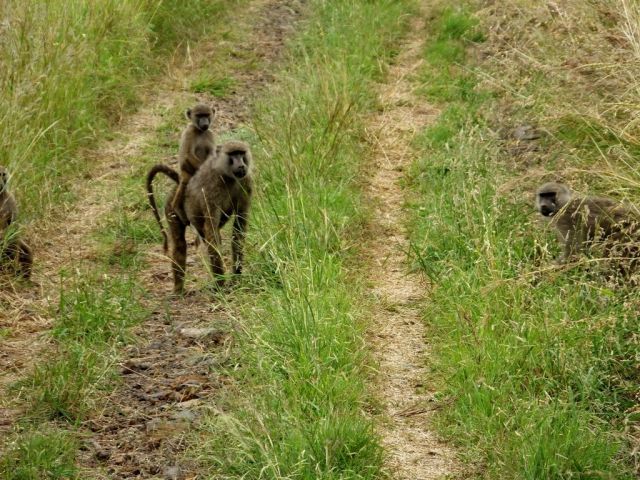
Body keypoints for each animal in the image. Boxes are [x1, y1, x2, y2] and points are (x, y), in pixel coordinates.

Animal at [146, 140, 253, 294]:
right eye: (233, 154)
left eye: (241, 153)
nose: (241, 165)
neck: (228, 177)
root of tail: (178, 185)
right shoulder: (211, 191)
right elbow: (211, 232)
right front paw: (221, 284)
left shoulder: (246, 183)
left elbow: (238, 228)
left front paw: (236, 278)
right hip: (171, 207)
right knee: (180, 244)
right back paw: (178, 289)